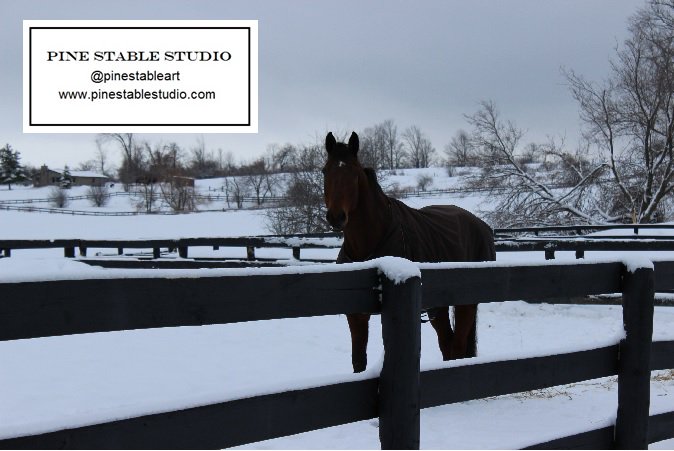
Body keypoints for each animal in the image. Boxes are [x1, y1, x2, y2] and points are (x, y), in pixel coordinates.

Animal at [323, 131, 496, 373]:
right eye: (325, 171)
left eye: (354, 173)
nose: (336, 217)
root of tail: (482, 226)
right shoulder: (356, 315)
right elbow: (358, 363)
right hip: (438, 307)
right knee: (447, 344)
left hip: (467, 303)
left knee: (458, 346)